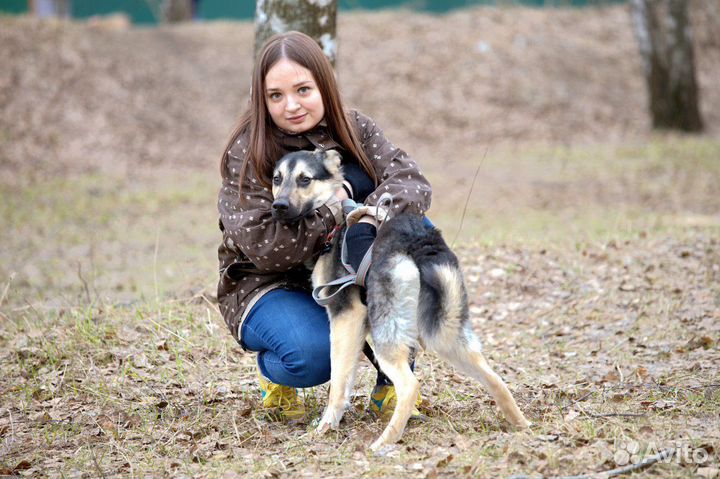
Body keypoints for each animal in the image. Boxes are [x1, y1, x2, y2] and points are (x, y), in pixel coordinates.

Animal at [270, 151, 528, 454]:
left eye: (305, 179)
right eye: (277, 178)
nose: (279, 206)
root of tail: (418, 243)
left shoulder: (345, 317)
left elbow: (339, 382)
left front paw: (324, 428)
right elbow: (346, 380)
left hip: (390, 337)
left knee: (410, 386)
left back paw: (383, 442)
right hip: (447, 334)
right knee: (495, 379)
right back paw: (523, 426)